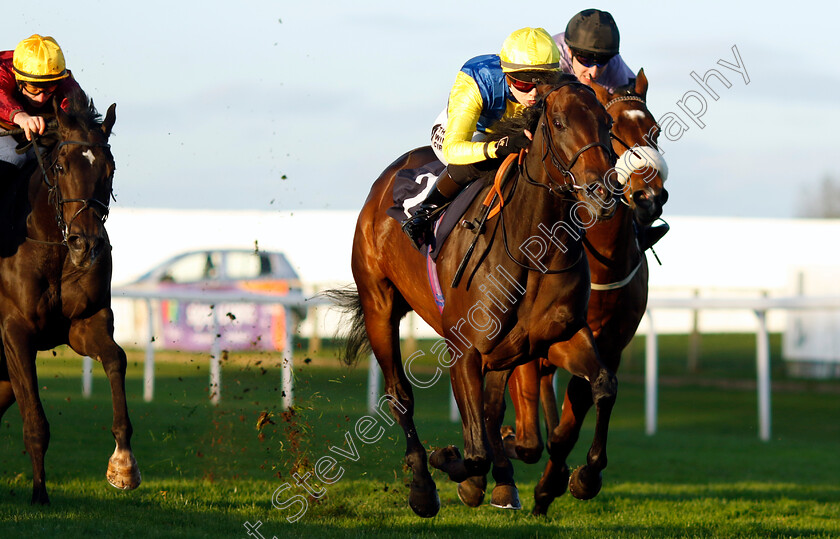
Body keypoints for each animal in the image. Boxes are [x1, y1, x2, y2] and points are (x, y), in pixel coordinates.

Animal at [0, 90, 139, 504]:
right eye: (61, 166)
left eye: (110, 168)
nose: (86, 243)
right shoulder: (15, 332)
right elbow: (35, 422)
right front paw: (39, 495)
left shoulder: (84, 324)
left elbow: (117, 359)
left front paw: (123, 465)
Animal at [332, 81, 620, 520]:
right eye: (559, 122)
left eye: (606, 122)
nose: (602, 193)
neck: (530, 250)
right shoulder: (464, 350)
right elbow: (474, 454)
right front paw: (449, 466)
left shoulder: (559, 335)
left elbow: (603, 385)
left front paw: (586, 475)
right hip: (378, 304)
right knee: (401, 396)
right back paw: (424, 486)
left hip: (505, 350)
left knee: (492, 408)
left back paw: (504, 482)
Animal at [498, 69, 668, 516]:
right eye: (616, 130)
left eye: (654, 130)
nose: (650, 196)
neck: (603, 258)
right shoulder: (536, 339)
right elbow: (533, 433)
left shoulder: (606, 343)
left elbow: (577, 417)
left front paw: (568, 480)